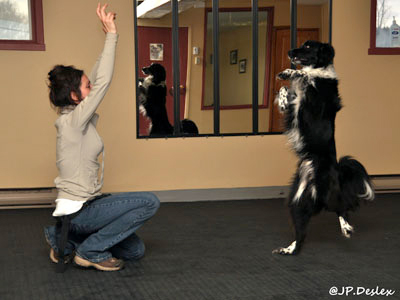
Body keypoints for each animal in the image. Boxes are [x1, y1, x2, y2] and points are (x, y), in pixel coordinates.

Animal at [272, 40, 376, 255]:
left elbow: (304, 76)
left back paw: (346, 228)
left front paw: (289, 72)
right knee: (301, 233)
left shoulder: (313, 100)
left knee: (342, 208)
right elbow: (285, 90)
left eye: (308, 47)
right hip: (297, 200)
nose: (289, 52)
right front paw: (284, 92)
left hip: (329, 194)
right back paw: (288, 250)